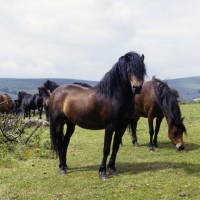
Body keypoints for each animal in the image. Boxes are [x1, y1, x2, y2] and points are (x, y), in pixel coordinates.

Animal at [49, 51, 147, 180]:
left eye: (142, 71)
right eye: (128, 70)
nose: (137, 88)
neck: (113, 97)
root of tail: (55, 92)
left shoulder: (122, 126)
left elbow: (115, 147)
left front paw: (113, 169)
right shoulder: (109, 127)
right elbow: (106, 149)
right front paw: (103, 172)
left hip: (71, 124)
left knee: (65, 142)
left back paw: (64, 165)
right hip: (59, 123)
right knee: (60, 143)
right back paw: (62, 169)